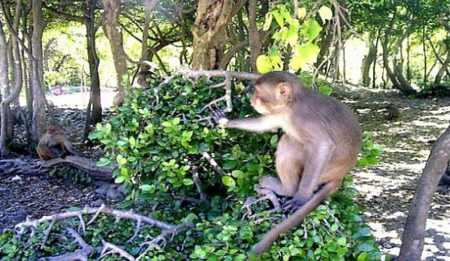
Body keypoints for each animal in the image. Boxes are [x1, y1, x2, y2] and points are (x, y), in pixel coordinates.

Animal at [211, 71, 362, 254]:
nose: (252, 100)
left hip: (324, 171)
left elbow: (323, 145)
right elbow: (266, 125)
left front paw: (301, 198)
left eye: (258, 93)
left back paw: (288, 190)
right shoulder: (279, 114)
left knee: (290, 143)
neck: (289, 105)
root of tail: (340, 176)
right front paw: (225, 121)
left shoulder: (301, 118)